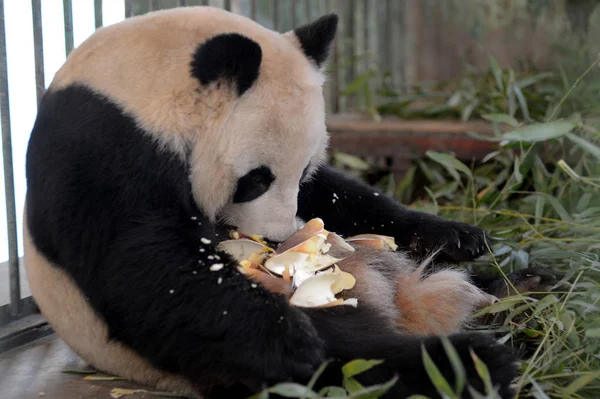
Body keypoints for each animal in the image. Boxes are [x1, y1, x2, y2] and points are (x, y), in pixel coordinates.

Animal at [23, 6, 520, 399]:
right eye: (255, 180)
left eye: (302, 171)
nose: (279, 238)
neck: (144, 83)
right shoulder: (103, 148)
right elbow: (143, 266)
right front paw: (289, 336)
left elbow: (339, 195)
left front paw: (457, 235)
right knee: (347, 356)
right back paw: (471, 361)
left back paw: (517, 284)